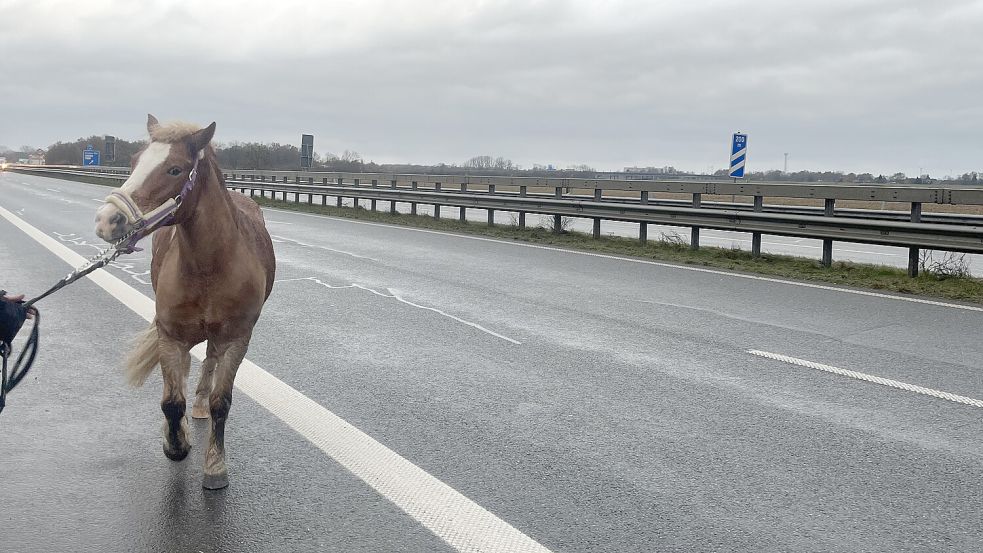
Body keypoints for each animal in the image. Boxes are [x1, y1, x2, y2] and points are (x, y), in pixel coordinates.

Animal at [95, 113, 276, 488]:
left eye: (175, 170)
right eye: (133, 162)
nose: (107, 220)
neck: (209, 265)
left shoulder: (237, 338)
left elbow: (222, 402)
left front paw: (215, 466)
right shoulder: (170, 336)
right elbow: (170, 401)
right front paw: (175, 443)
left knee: (209, 362)